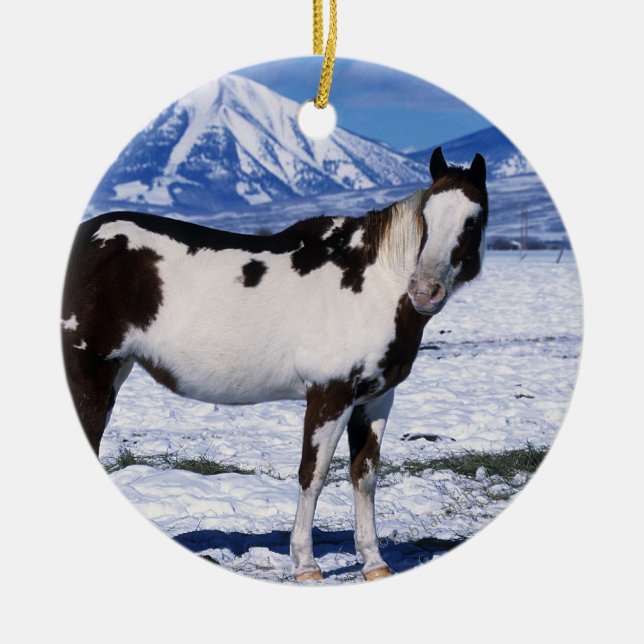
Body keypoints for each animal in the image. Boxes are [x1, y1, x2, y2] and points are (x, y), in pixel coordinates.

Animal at [61, 146, 488, 582]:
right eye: (426, 217)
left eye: (473, 219)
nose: (424, 291)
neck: (375, 284)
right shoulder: (330, 394)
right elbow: (313, 475)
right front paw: (306, 565)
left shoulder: (375, 400)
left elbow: (364, 477)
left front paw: (374, 563)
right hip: (88, 372)